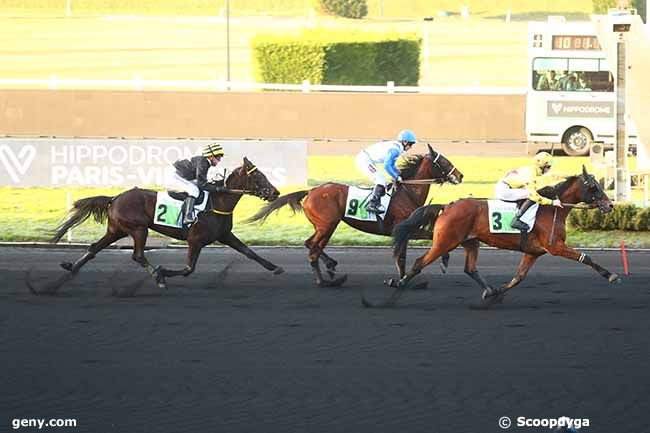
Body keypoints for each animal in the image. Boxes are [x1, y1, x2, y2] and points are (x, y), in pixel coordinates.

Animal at [27, 157, 280, 296]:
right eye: (259, 177)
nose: (276, 192)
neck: (217, 202)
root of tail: (115, 198)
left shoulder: (225, 235)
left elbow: (249, 252)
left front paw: (275, 267)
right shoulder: (195, 240)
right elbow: (188, 269)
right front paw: (163, 271)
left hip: (116, 230)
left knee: (93, 249)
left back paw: (66, 272)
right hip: (139, 229)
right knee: (137, 255)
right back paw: (158, 278)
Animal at [246, 143, 464, 286]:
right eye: (444, 161)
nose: (460, 175)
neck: (407, 192)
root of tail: (311, 191)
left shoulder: (405, 231)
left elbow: (402, 255)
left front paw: (401, 279)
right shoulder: (405, 229)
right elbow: (420, 243)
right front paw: (442, 262)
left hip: (323, 226)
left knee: (310, 244)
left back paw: (330, 267)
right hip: (328, 225)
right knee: (313, 249)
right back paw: (324, 280)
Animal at [380, 165, 616, 308]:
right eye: (593, 186)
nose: (610, 205)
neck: (551, 211)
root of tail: (448, 206)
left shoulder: (533, 252)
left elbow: (518, 277)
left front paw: (498, 292)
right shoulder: (556, 246)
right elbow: (586, 258)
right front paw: (611, 275)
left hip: (470, 242)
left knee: (470, 269)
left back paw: (489, 290)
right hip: (445, 241)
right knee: (419, 263)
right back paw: (397, 286)